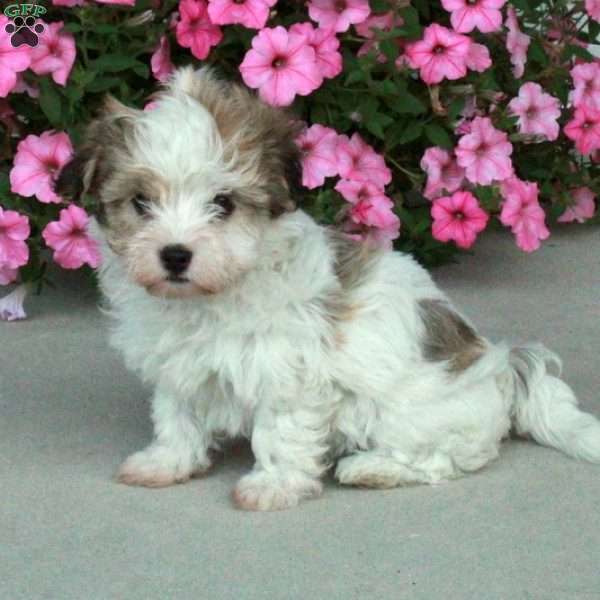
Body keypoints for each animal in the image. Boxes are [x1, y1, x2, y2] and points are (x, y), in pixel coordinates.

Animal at [57, 69, 600, 510]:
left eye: (223, 203)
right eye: (141, 202)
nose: (174, 255)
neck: (211, 298)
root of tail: (505, 367)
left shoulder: (286, 368)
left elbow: (280, 428)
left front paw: (273, 486)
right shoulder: (178, 365)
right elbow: (176, 413)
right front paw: (166, 461)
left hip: (409, 412)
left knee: (444, 458)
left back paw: (371, 468)